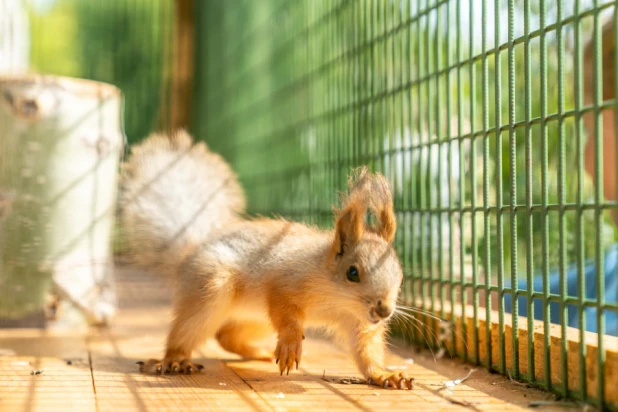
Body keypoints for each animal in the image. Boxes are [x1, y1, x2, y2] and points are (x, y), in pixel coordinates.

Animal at [118, 131, 412, 390]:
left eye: (400, 276)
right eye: (352, 273)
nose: (385, 311)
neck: (337, 297)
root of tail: (190, 253)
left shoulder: (359, 323)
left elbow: (366, 351)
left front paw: (385, 375)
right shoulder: (285, 281)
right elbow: (286, 313)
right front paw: (291, 345)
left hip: (256, 318)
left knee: (226, 336)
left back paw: (259, 352)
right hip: (212, 287)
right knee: (187, 332)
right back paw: (175, 360)